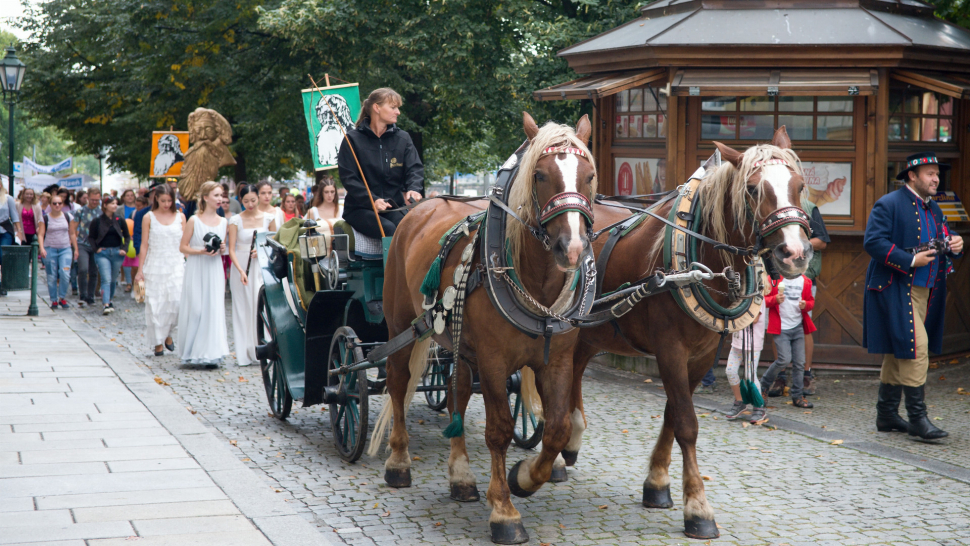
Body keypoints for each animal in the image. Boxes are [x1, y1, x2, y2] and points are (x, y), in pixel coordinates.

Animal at [368, 112, 592, 540]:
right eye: (540, 175)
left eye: (588, 175)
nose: (571, 249)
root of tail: (421, 206)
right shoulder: (493, 360)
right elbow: (499, 430)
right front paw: (504, 510)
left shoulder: (556, 360)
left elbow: (555, 428)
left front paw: (525, 477)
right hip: (401, 325)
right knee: (398, 382)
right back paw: (399, 462)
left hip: (461, 344)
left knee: (456, 391)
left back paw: (461, 477)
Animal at [564, 126, 804, 536]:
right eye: (752, 189)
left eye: (800, 185)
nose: (795, 254)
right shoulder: (670, 350)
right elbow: (687, 424)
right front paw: (698, 508)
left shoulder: (702, 355)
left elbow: (673, 414)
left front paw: (657, 483)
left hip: (590, 335)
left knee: (574, 374)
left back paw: (568, 440)